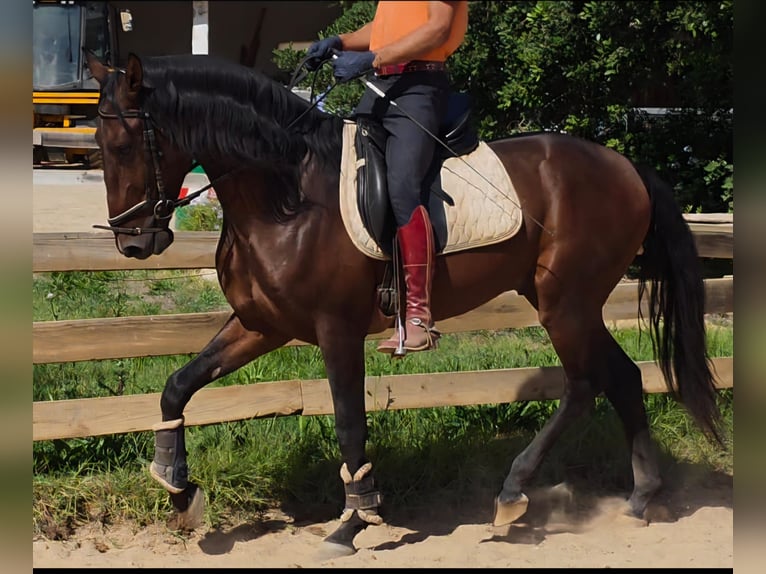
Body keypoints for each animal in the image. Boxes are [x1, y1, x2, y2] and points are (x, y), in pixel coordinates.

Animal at [84, 50, 722, 555]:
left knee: (587, 385)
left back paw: (517, 492)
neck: (286, 197)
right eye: (96, 145)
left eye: (125, 144)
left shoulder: (335, 330)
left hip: (565, 304)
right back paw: (637, 498)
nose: (133, 242)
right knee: (621, 378)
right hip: (569, 302)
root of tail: (626, 166)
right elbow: (178, 385)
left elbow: (349, 424)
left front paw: (353, 520)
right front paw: (178, 487)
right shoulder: (260, 325)